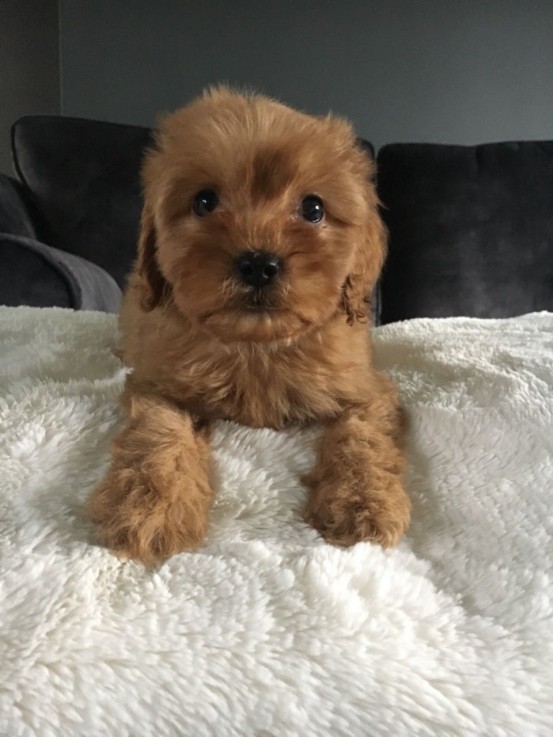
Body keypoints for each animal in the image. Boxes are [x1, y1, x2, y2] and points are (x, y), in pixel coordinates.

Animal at [88, 86, 410, 564]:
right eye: (205, 201)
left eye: (313, 208)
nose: (259, 263)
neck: (255, 345)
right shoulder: (157, 385)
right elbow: (158, 436)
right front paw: (148, 507)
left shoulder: (367, 389)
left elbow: (362, 437)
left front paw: (363, 504)